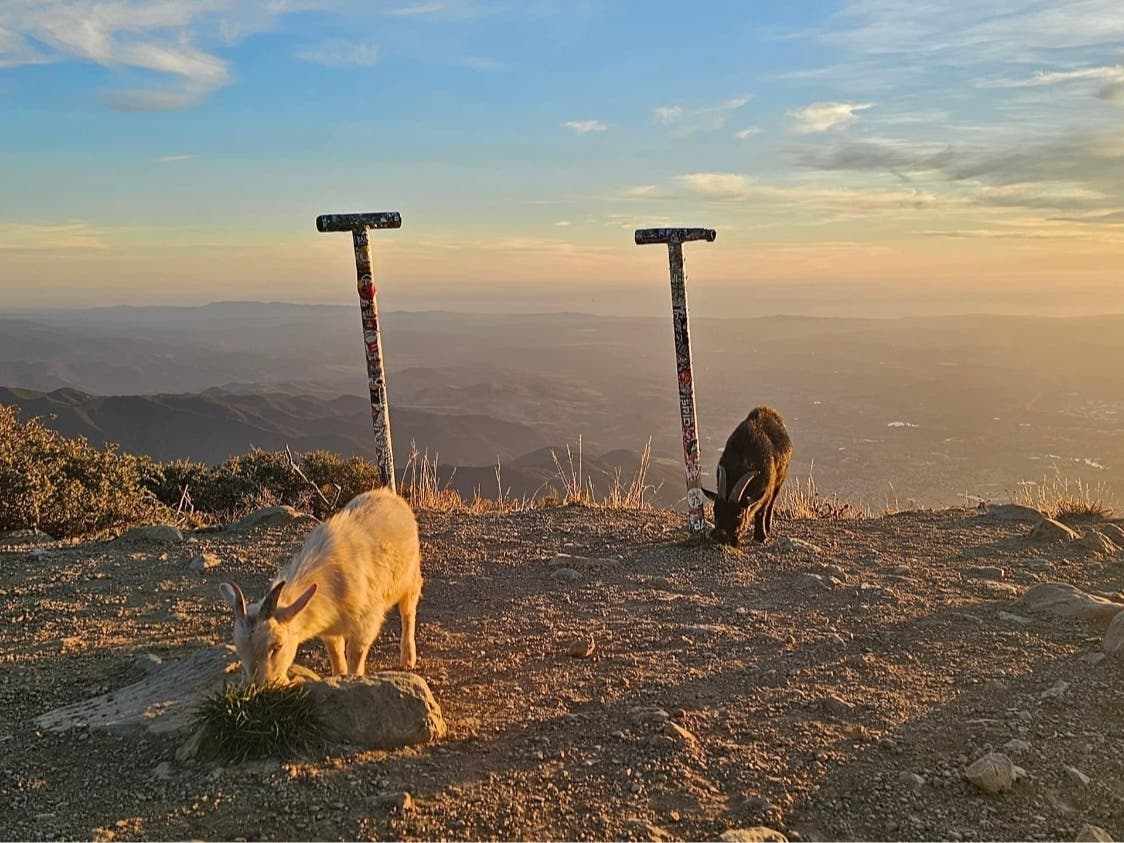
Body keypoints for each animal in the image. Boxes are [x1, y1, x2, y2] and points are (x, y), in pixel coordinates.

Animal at [219, 488, 422, 685]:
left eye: (277, 646)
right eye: (240, 650)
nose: (261, 686)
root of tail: (387, 493)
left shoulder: (366, 621)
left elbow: (355, 654)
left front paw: (354, 678)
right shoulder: (329, 628)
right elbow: (335, 653)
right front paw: (339, 676)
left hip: (411, 576)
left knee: (408, 612)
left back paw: (408, 658)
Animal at [703, 406, 792, 547]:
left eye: (739, 514)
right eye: (715, 509)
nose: (721, 536)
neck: (743, 459)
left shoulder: (767, 488)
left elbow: (761, 511)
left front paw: (760, 536)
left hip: (780, 480)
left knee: (771, 503)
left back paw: (767, 527)